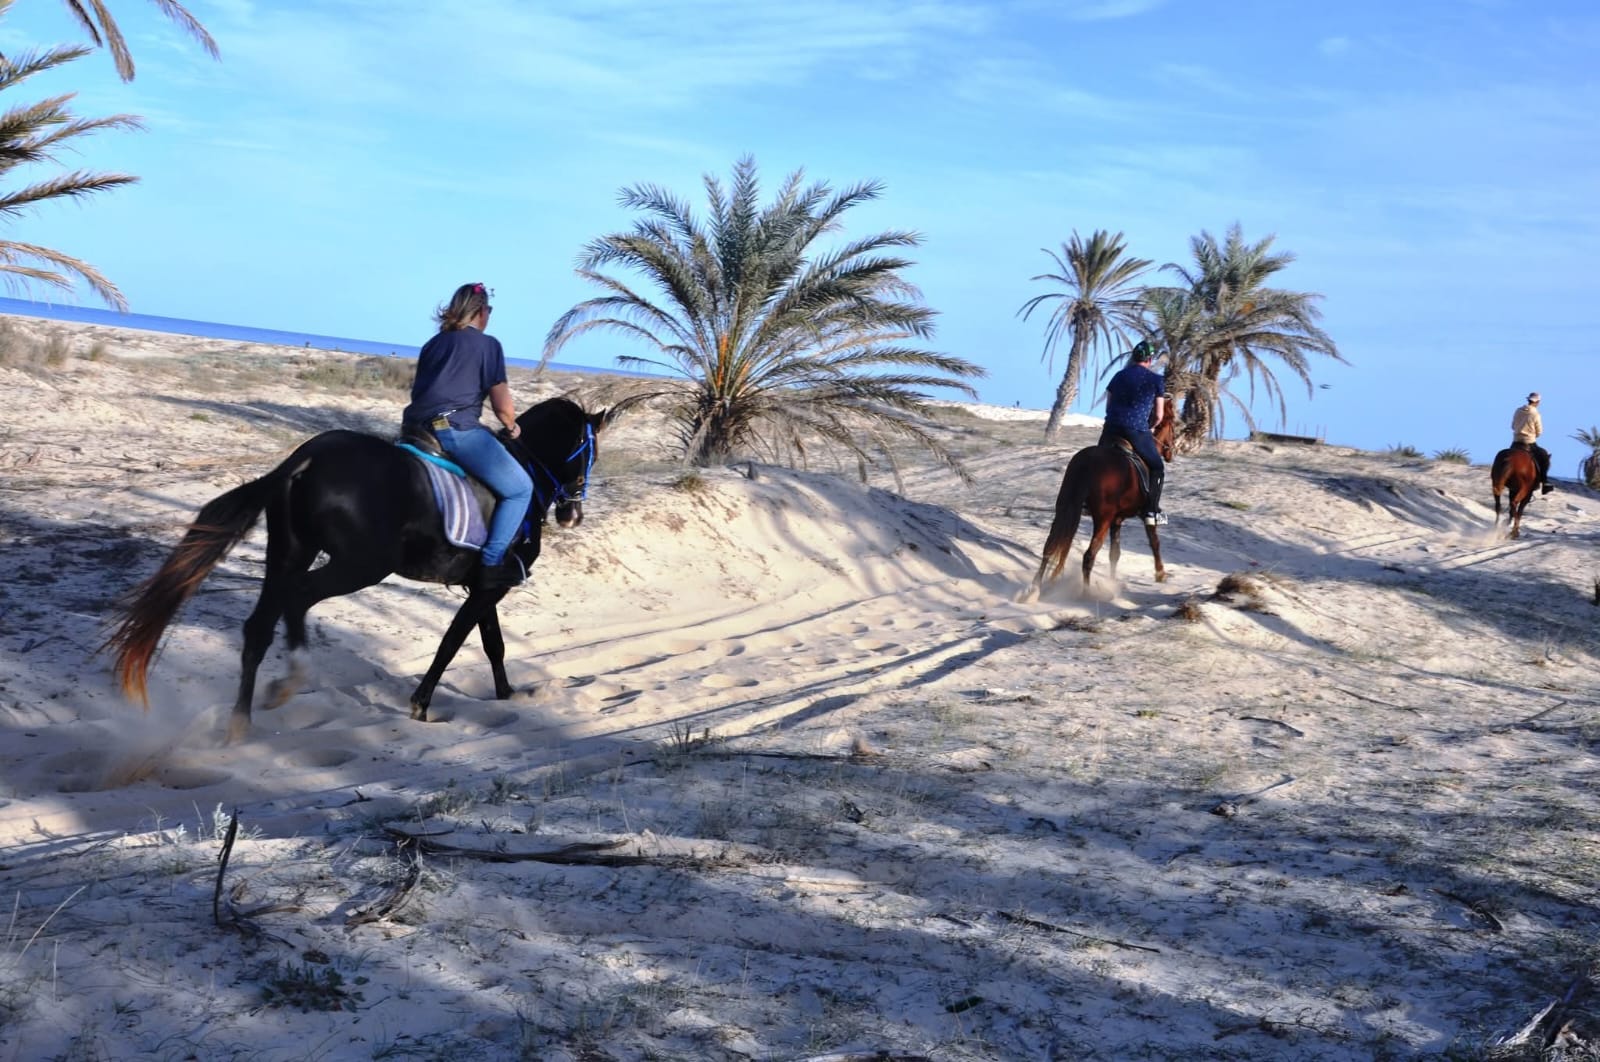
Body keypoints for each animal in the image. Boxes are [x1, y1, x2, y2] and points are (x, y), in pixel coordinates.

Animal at [103, 397, 620, 743]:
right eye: (589, 450)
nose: (573, 515)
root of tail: (307, 456)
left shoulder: (482, 585)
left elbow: (491, 643)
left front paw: (507, 696)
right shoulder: (489, 588)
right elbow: (454, 643)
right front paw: (421, 705)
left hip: (290, 552)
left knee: (259, 625)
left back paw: (243, 721)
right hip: (360, 566)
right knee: (298, 600)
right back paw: (292, 678)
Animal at [1025, 403, 1178, 597]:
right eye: (1174, 426)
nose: (1172, 452)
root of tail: (1087, 462)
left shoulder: (1117, 519)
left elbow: (1115, 553)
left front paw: (1113, 582)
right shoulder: (1143, 514)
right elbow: (1154, 542)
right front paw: (1160, 573)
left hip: (1066, 509)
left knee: (1050, 546)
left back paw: (1035, 587)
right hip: (1102, 519)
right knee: (1089, 555)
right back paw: (1086, 594)